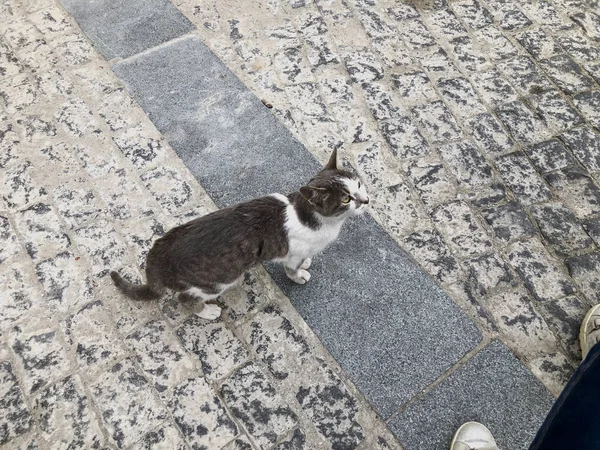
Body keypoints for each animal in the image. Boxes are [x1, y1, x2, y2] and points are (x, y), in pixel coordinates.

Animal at [109, 149, 368, 322]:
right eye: (346, 199)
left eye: (358, 184)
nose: (366, 200)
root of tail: (157, 254)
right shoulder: (293, 253)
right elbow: (292, 269)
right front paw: (299, 275)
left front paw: (307, 262)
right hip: (217, 281)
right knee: (185, 299)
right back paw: (207, 311)